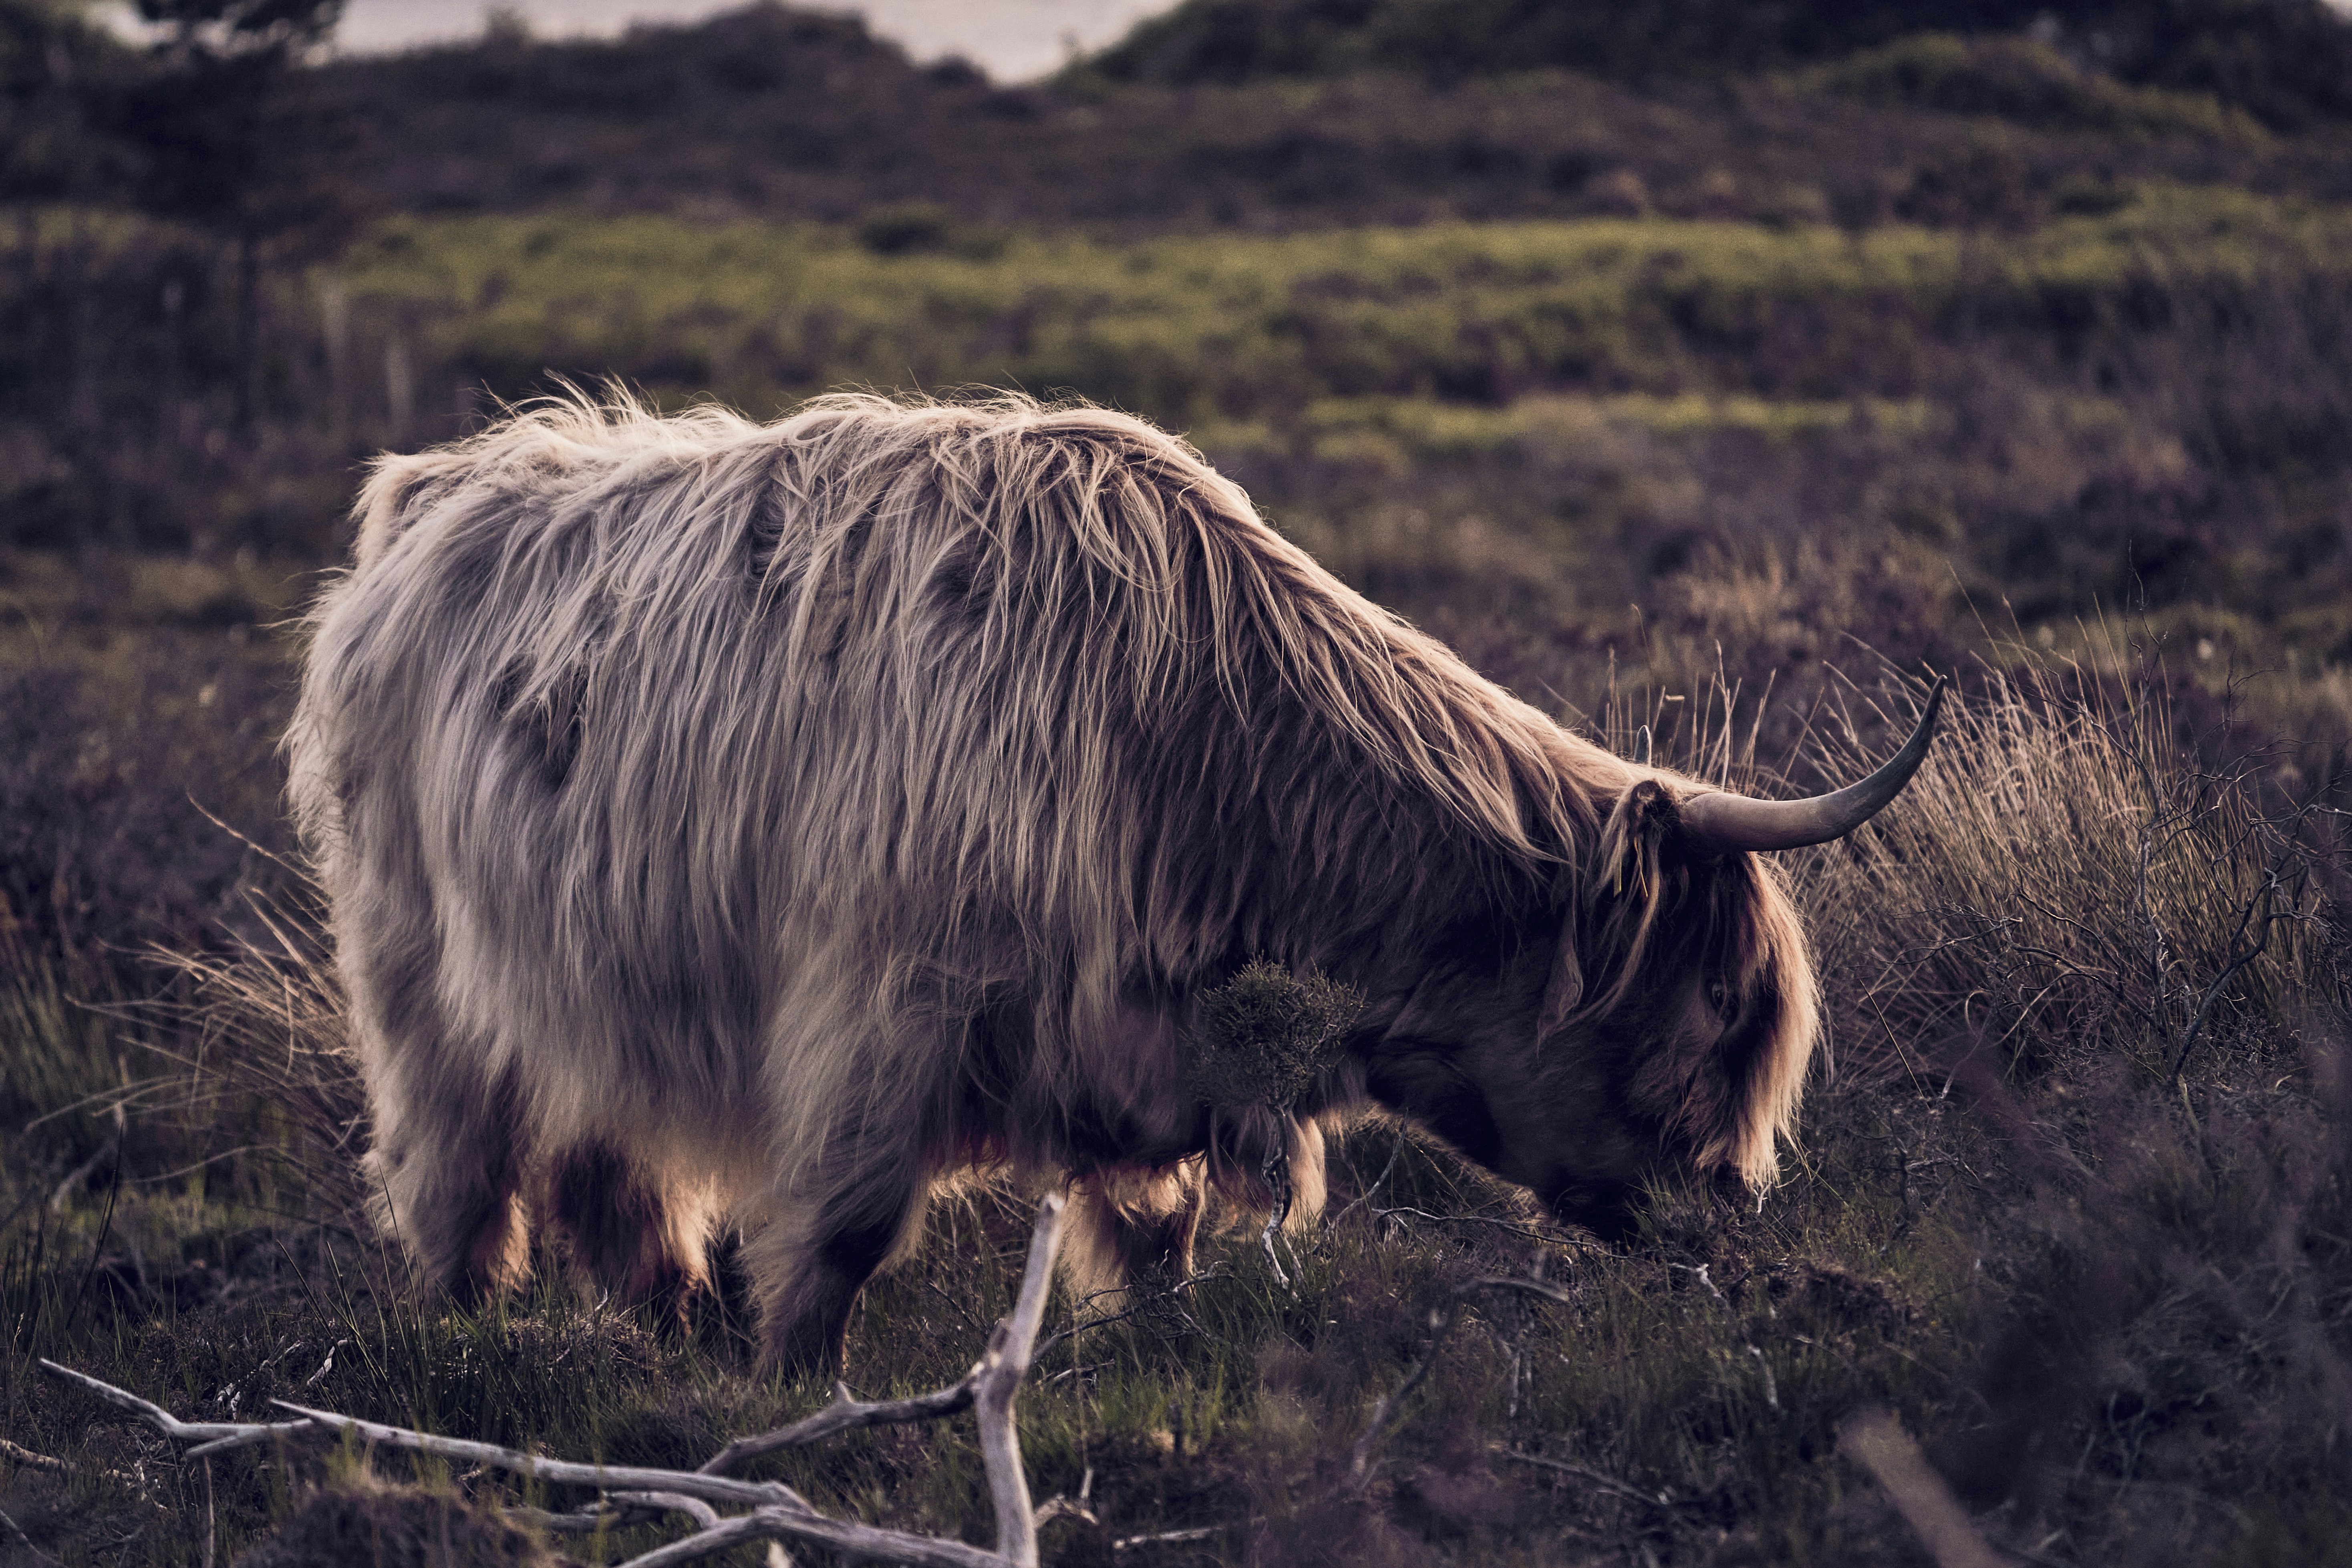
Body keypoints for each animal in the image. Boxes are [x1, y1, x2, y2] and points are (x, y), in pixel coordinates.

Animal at [285, 392, 1939, 1375]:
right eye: (1710, 1005)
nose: (1732, 1211)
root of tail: (436, 485)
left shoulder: (1142, 1057)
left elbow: (1156, 1237)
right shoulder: (879, 1009)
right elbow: (837, 1231)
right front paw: (793, 1404)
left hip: (596, 977)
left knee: (602, 1157)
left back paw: (666, 1319)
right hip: (418, 967)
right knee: (453, 1167)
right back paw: (465, 1340)